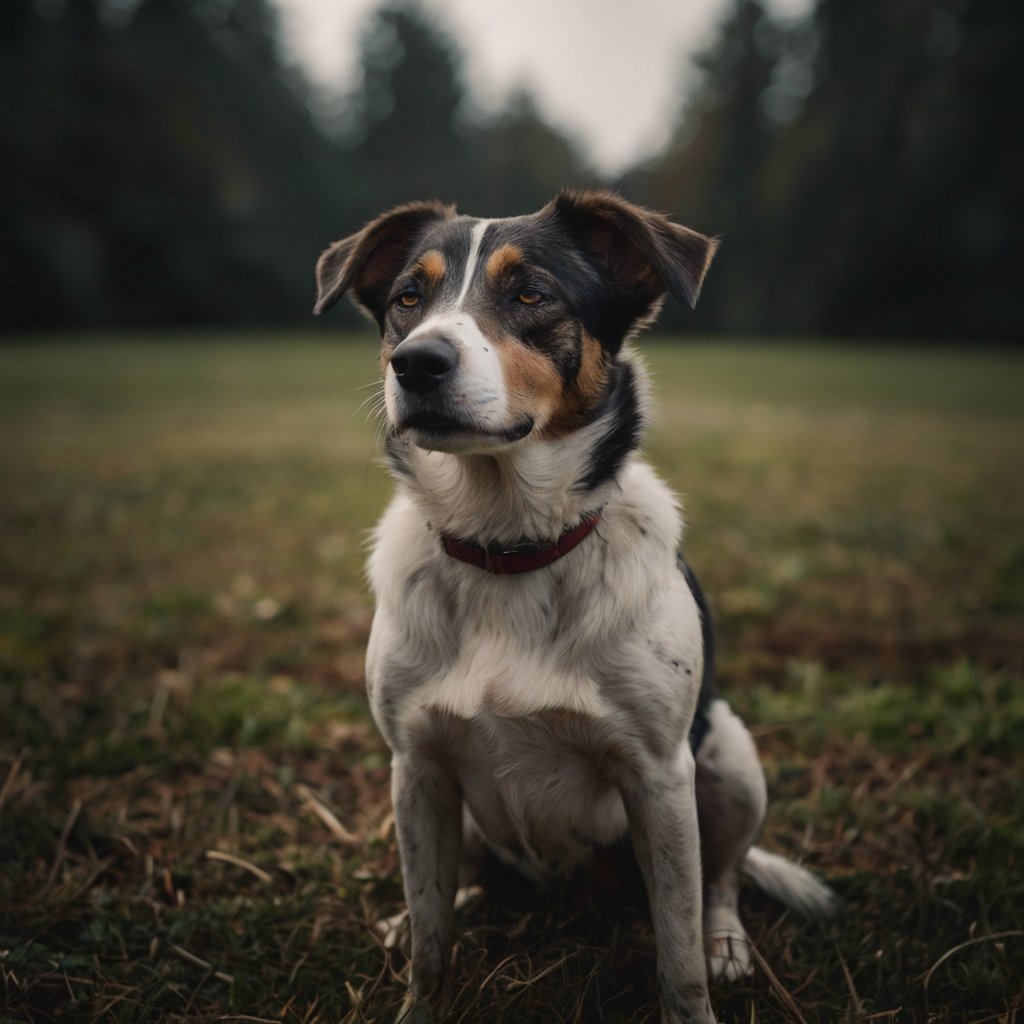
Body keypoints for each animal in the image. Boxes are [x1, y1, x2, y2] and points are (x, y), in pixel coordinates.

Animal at [311, 188, 831, 1019]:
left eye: (531, 295)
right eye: (407, 300)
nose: (416, 362)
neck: (509, 545)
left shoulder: (660, 778)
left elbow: (677, 955)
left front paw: (697, 980)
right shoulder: (416, 767)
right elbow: (431, 945)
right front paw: (419, 986)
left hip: (729, 756)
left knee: (720, 880)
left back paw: (726, 941)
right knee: (461, 885)